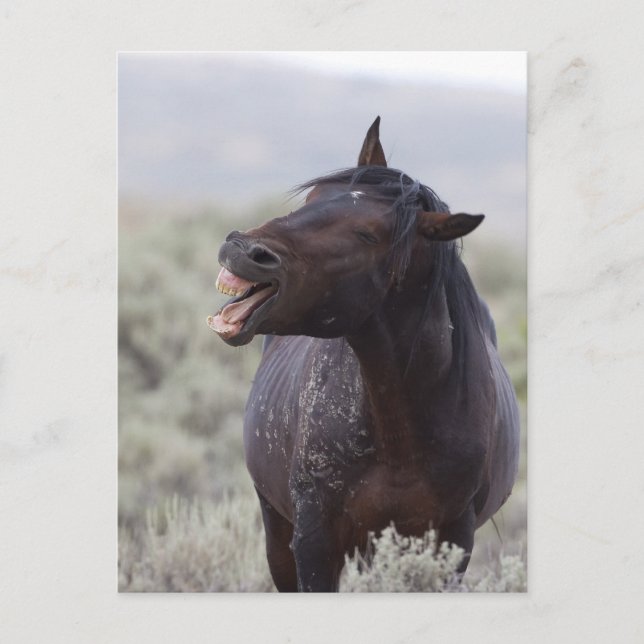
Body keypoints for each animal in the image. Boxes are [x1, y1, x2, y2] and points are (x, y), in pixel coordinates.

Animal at [207, 117, 520, 592]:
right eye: (313, 199)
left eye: (367, 234)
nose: (242, 250)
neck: (399, 434)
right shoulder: (314, 538)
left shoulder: (450, 543)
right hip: (277, 529)